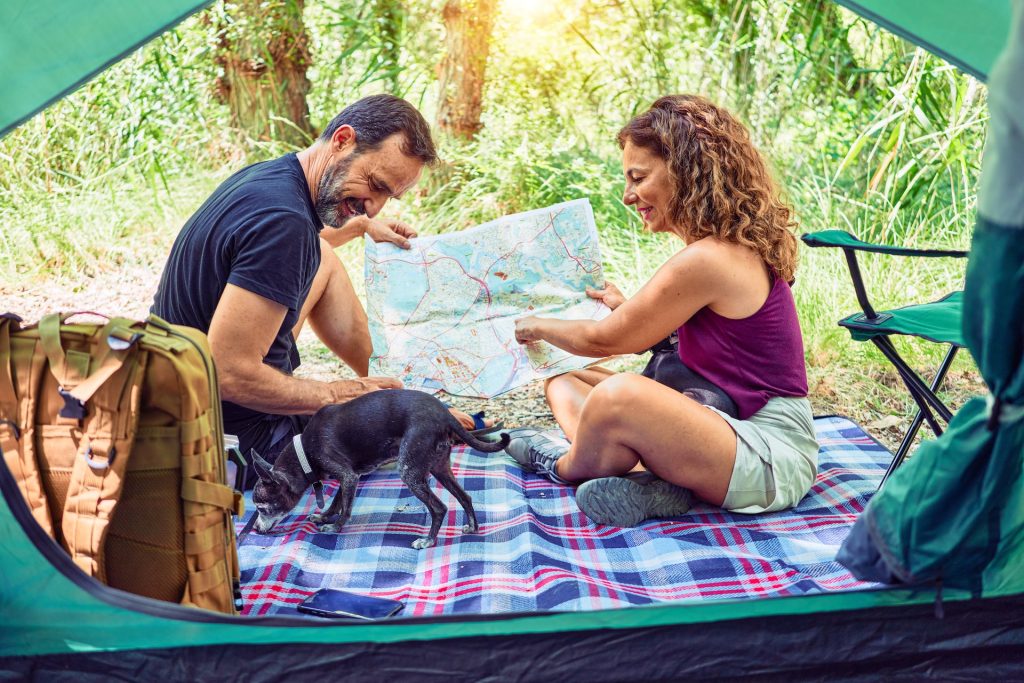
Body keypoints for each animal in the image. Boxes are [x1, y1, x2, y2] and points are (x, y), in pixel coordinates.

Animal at [251, 389, 507, 548]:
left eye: (262, 509)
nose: (255, 529)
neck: (304, 452)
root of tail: (445, 414)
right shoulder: (347, 477)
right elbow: (337, 501)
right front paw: (324, 516)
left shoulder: (348, 476)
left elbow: (345, 509)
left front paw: (334, 527)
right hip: (439, 467)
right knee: (465, 497)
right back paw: (472, 527)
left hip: (410, 472)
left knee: (439, 508)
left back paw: (428, 541)